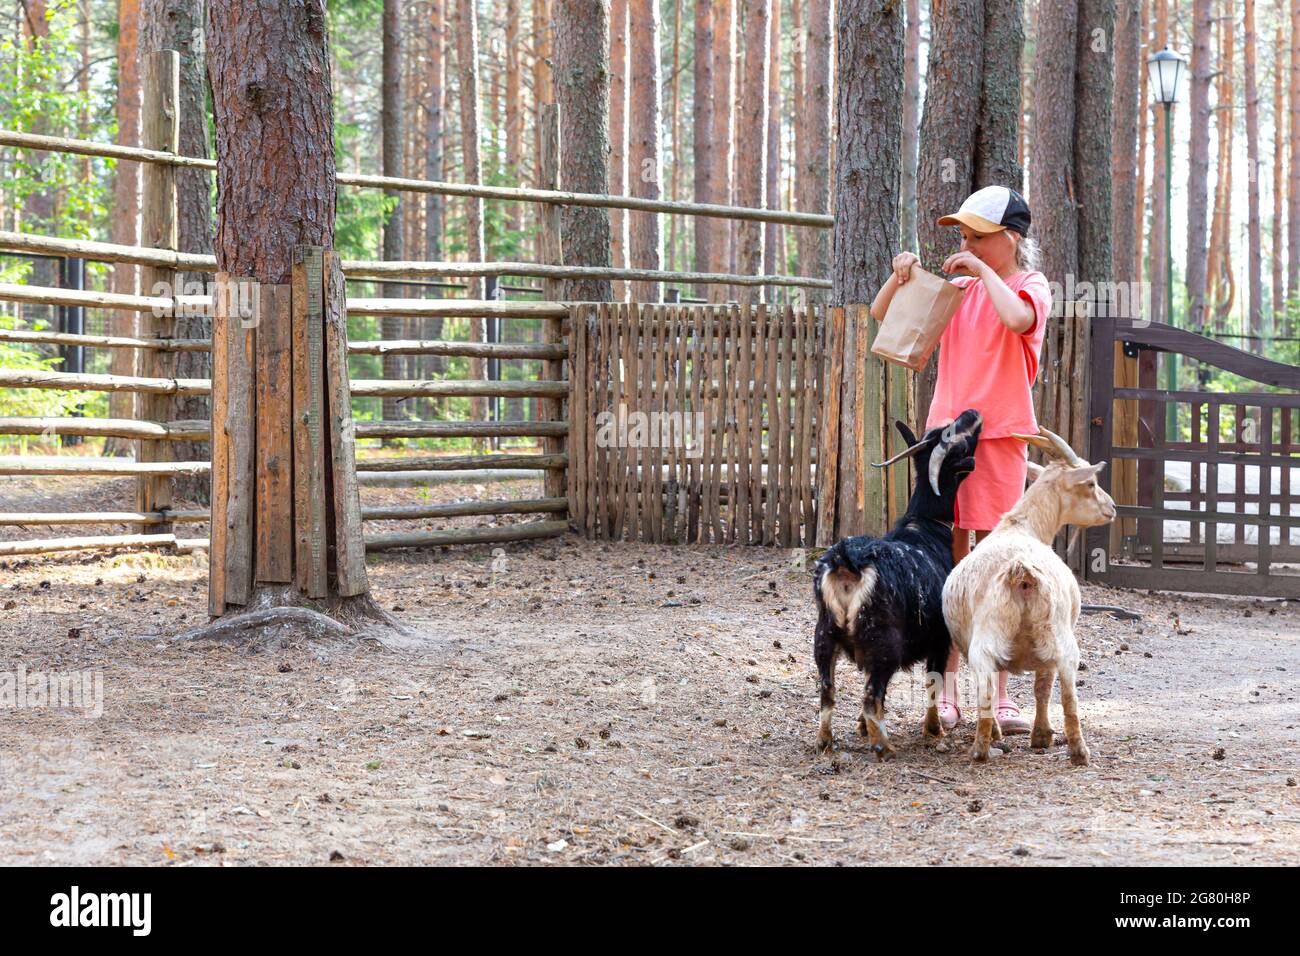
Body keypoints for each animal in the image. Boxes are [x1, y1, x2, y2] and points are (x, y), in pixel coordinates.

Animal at [806, 411, 977, 764]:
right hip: (883, 642)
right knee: (871, 695)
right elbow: (932, 684)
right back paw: (883, 747)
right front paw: (933, 730)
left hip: (825, 636)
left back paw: (826, 741)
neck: (924, 526)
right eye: (959, 443)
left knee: (829, 691)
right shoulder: (939, 640)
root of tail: (848, 561)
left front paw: (861, 728)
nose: (973, 414)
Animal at [946, 429, 1118, 764]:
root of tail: (1021, 571)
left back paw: (983, 747)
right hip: (1059, 635)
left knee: (986, 689)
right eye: (1090, 483)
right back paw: (1078, 751)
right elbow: (1043, 687)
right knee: (1067, 693)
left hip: (986, 640)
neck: (1021, 527)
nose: (1112, 507)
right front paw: (1041, 735)